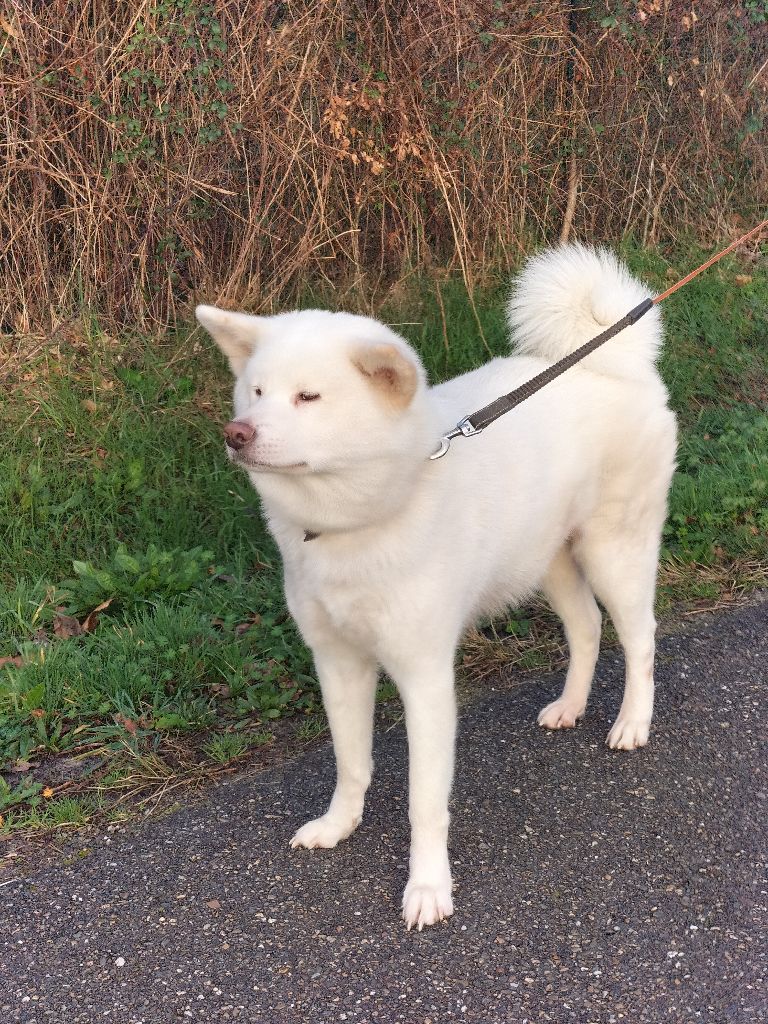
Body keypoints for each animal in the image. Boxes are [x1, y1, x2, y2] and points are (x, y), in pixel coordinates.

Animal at [198, 245, 679, 929]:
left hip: (615, 552)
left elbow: (424, 801)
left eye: (308, 396)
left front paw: (428, 887)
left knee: (639, 640)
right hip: (547, 560)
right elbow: (352, 763)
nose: (237, 433)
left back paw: (632, 722)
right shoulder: (338, 661)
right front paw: (339, 825)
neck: (360, 518)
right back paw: (570, 706)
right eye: (257, 391)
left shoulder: (424, 675)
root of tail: (618, 362)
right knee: (586, 628)